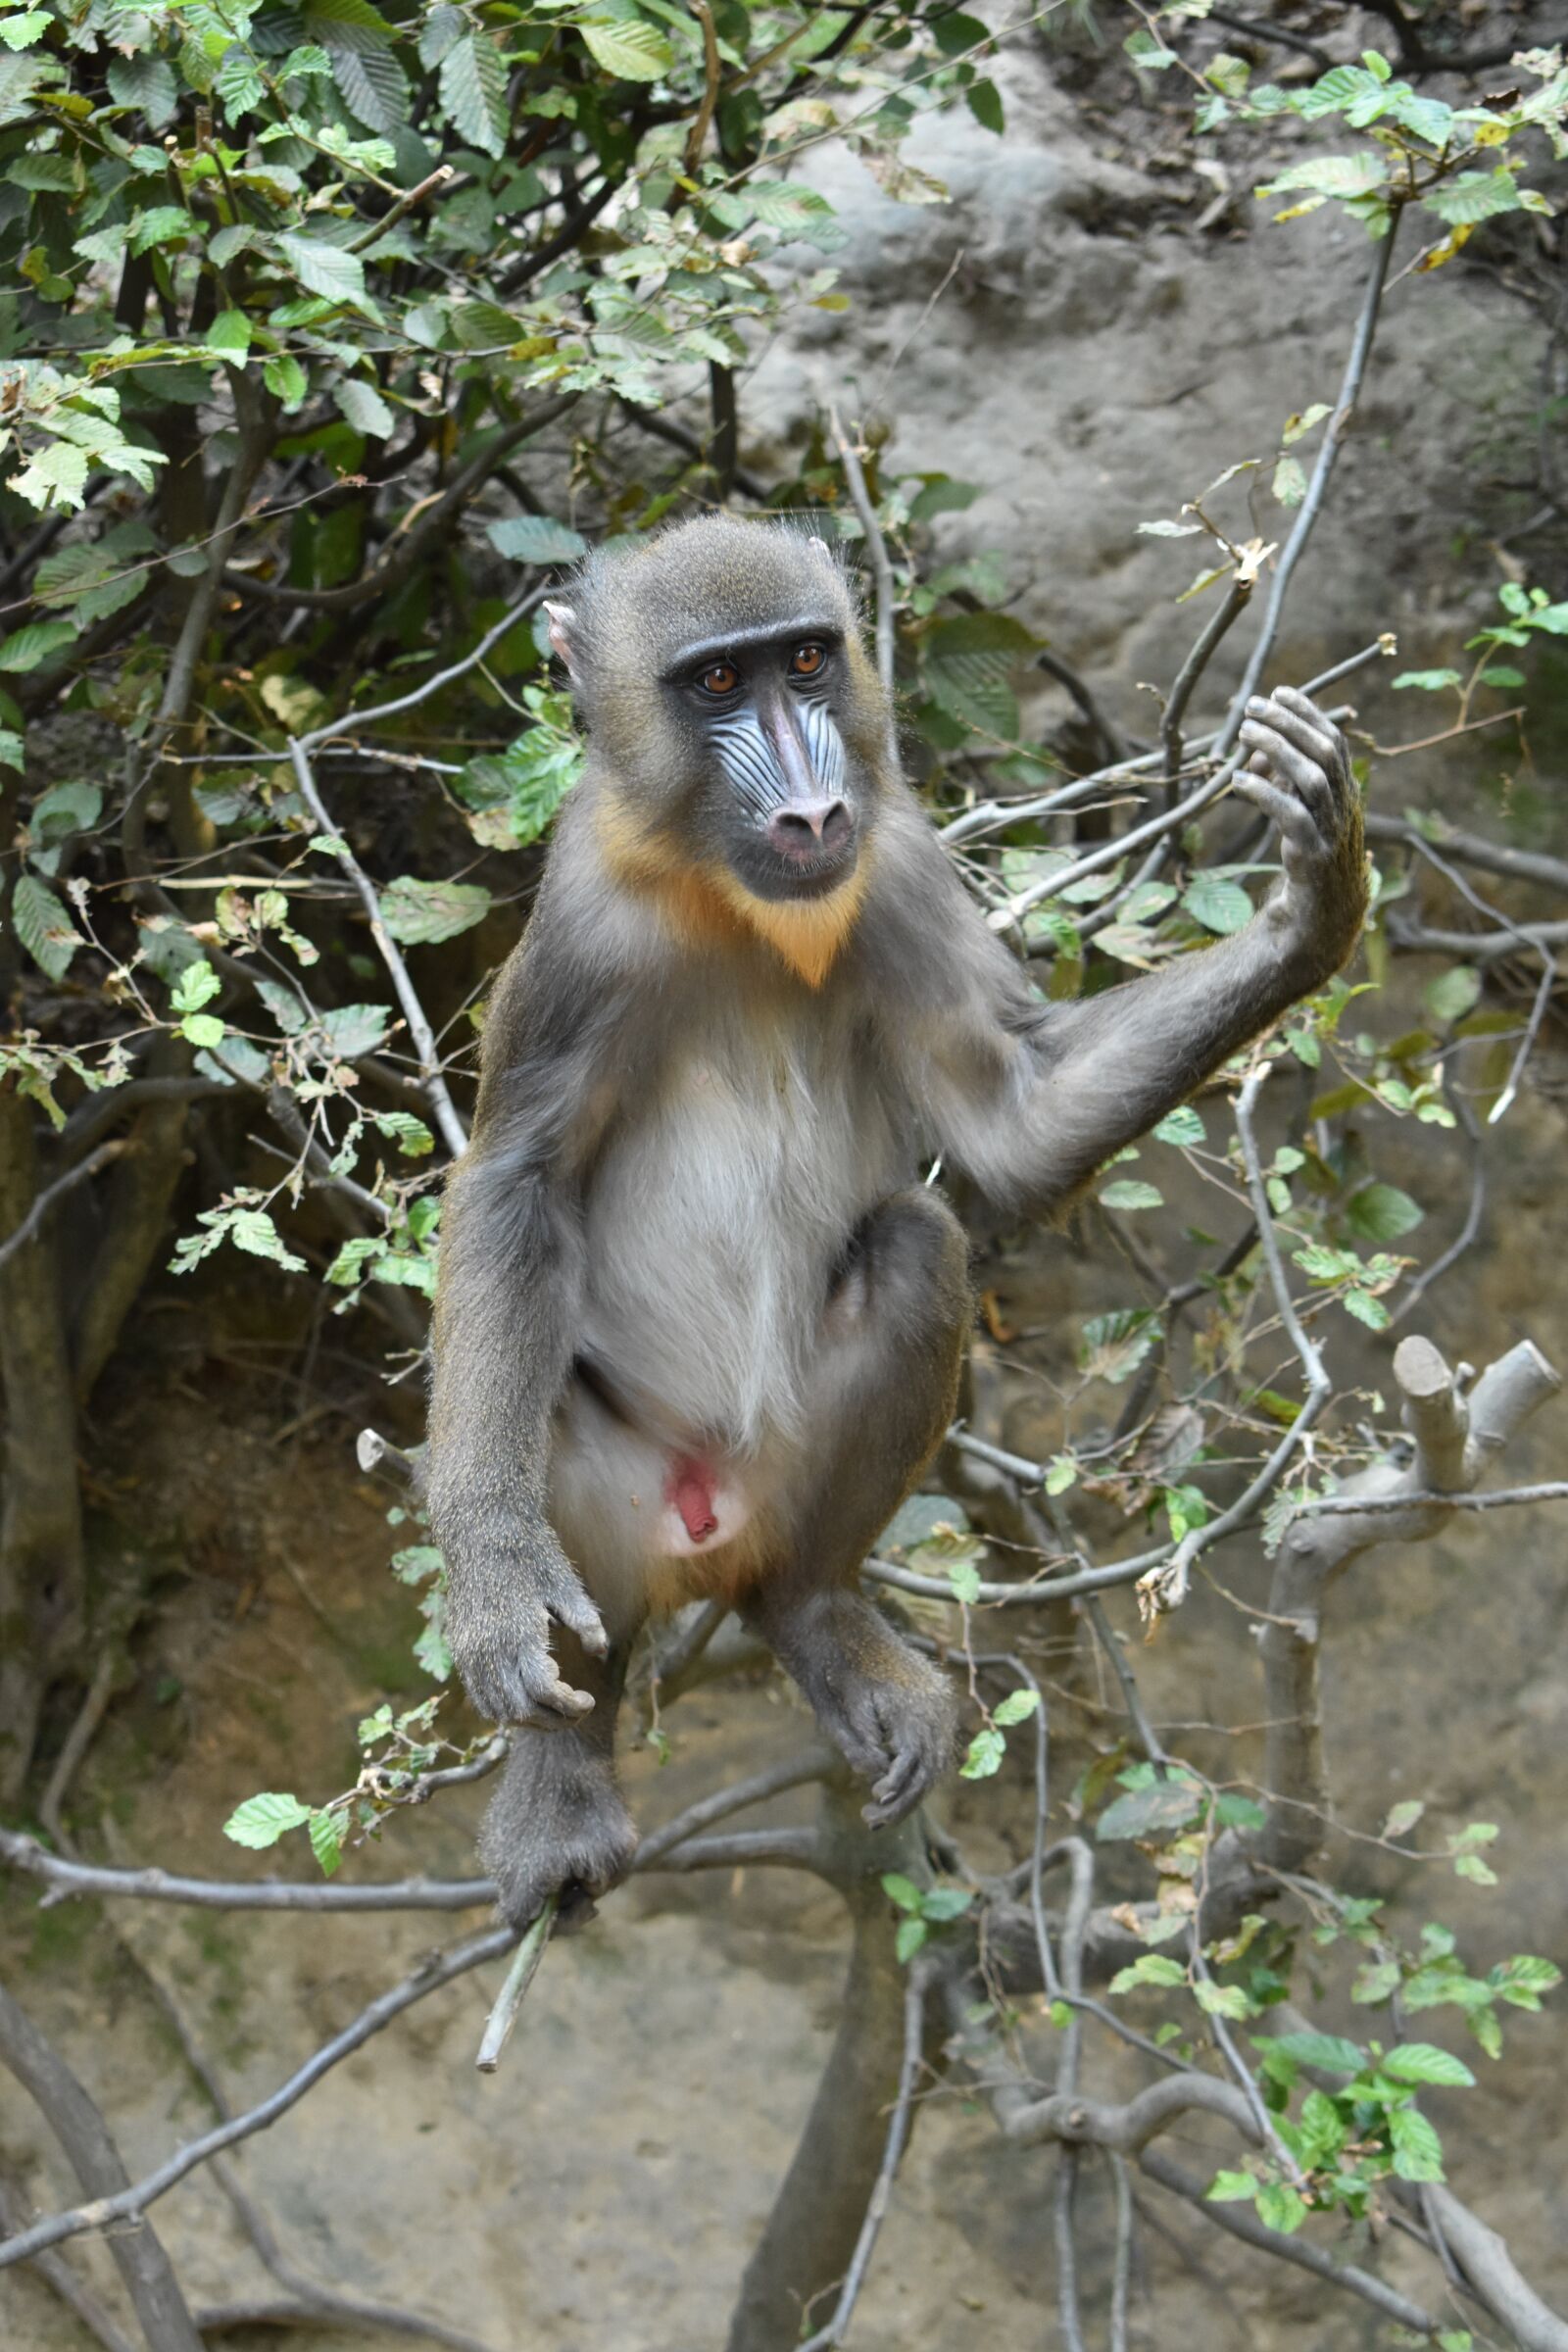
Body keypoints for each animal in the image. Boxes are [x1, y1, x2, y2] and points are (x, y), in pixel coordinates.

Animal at [427, 515, 1366, 1932]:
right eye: (716, 682)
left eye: (809, 659)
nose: (815, 809)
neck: (724, 894)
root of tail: (708, 1532)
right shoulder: (581, 929)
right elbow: (513, 1191)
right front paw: (492, 1591)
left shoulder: (901, 861)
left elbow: (1010, 1112)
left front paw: (1312, 906)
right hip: (619, 1504)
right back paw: (564, 1783)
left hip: (799, 1469)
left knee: (923, 1244)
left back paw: (817, 1618)